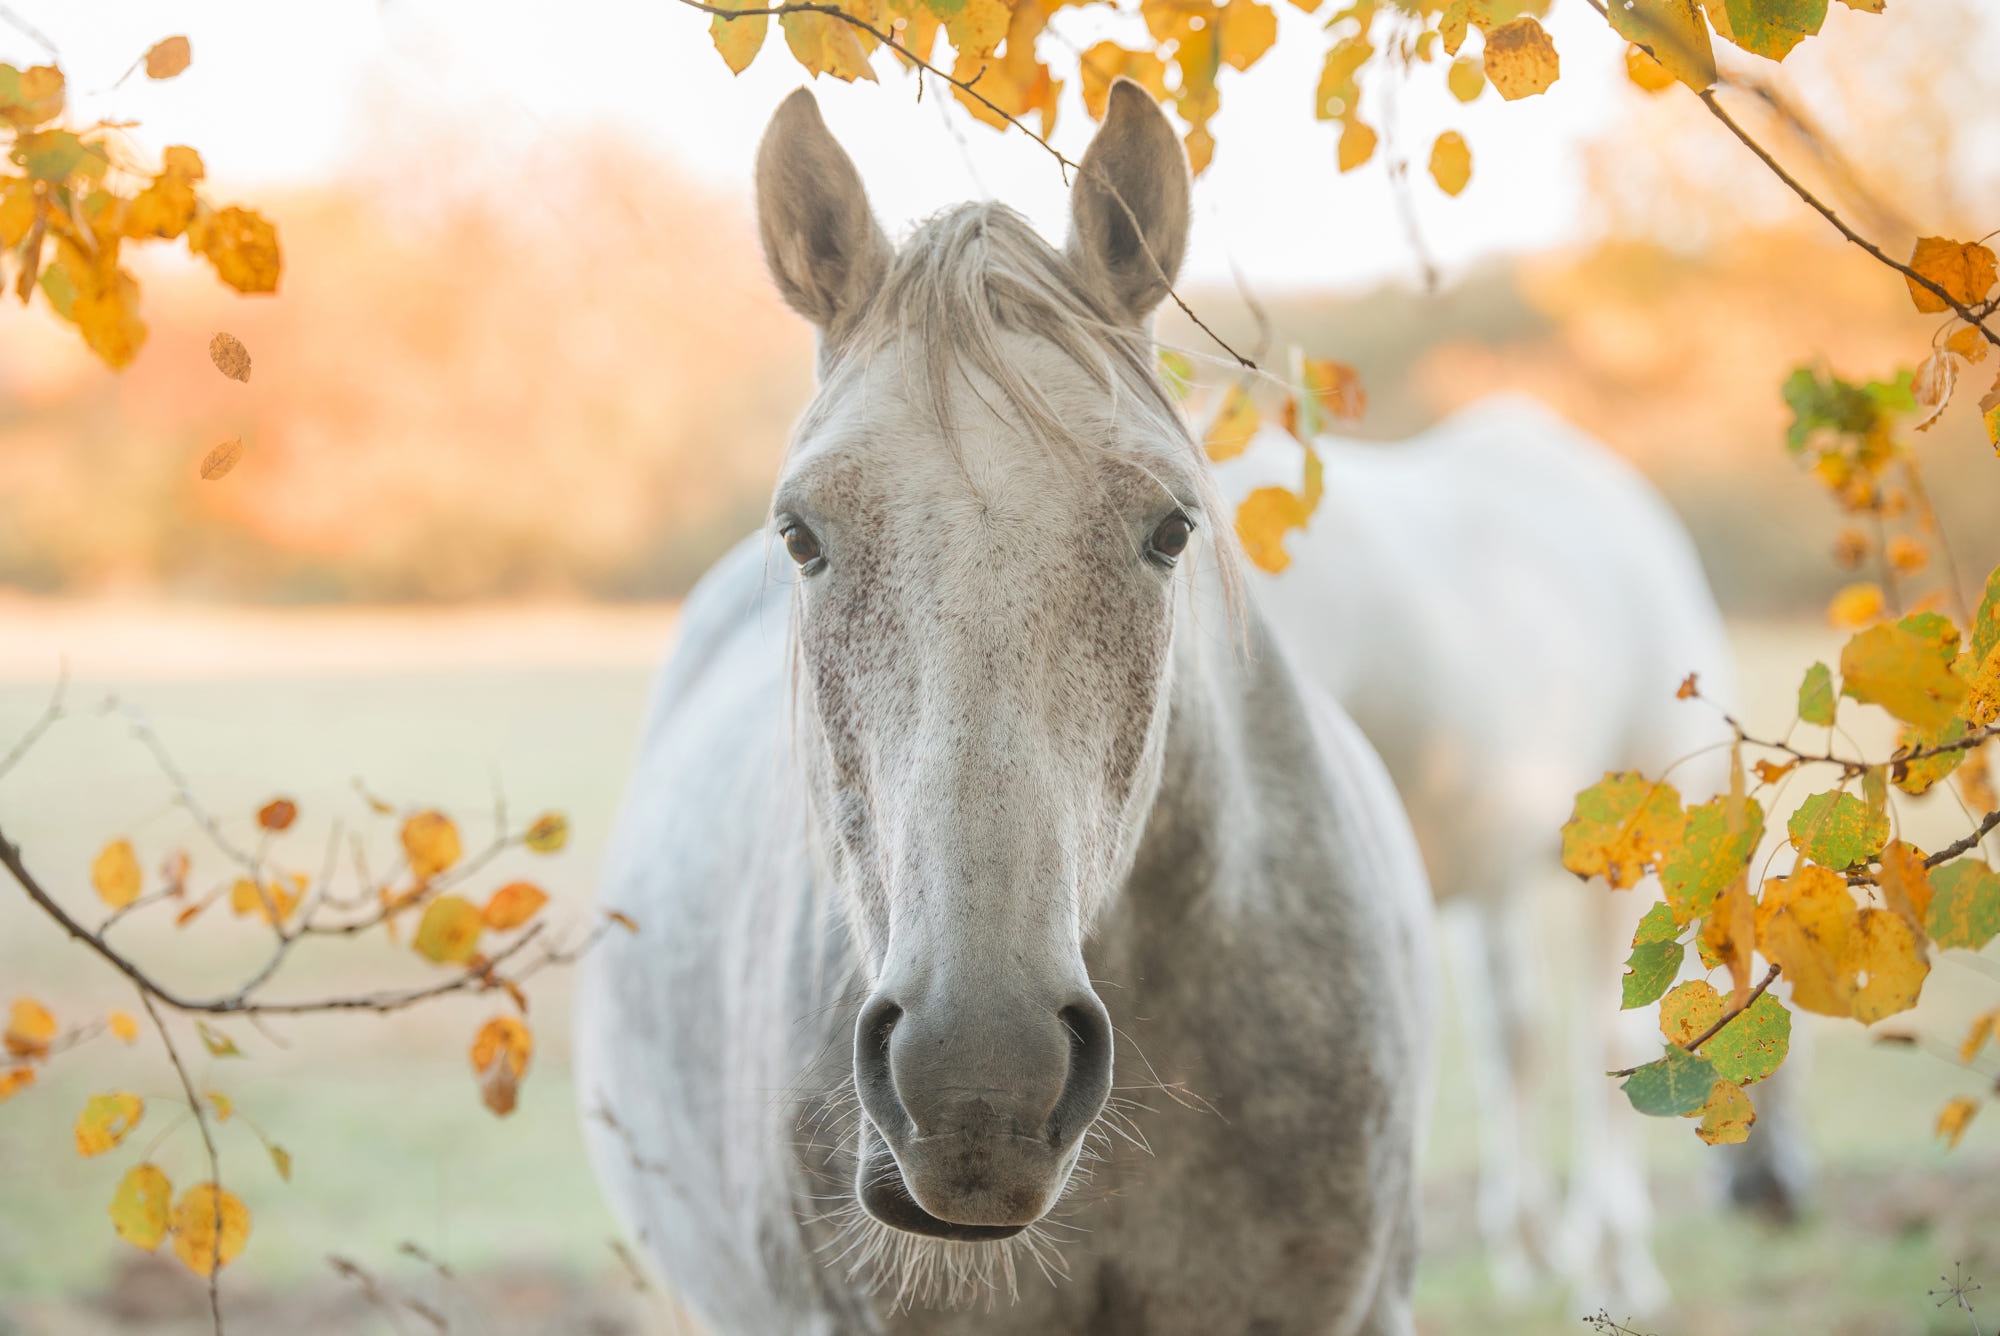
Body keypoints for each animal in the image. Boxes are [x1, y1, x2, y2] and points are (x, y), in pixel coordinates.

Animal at [1216, 400, 1816, 1312]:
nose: (1782, 1199)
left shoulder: (1487, 877)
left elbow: (1513, 1039)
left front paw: (1530, 1249)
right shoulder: (1628, 866)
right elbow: (1609, 1037)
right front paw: (1615, 1261)